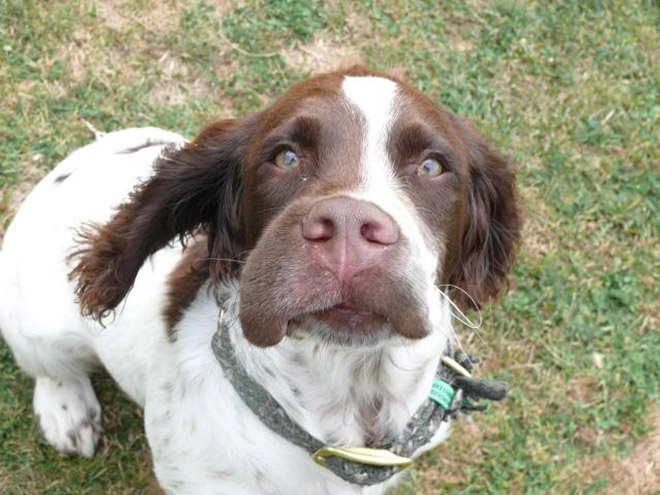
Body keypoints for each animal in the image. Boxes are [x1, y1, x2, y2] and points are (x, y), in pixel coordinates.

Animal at [0, 67, 520, 495]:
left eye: (432, 166)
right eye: (285, 157)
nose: (349, 225)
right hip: (39, 326)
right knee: (51, 368)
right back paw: (67, 411)